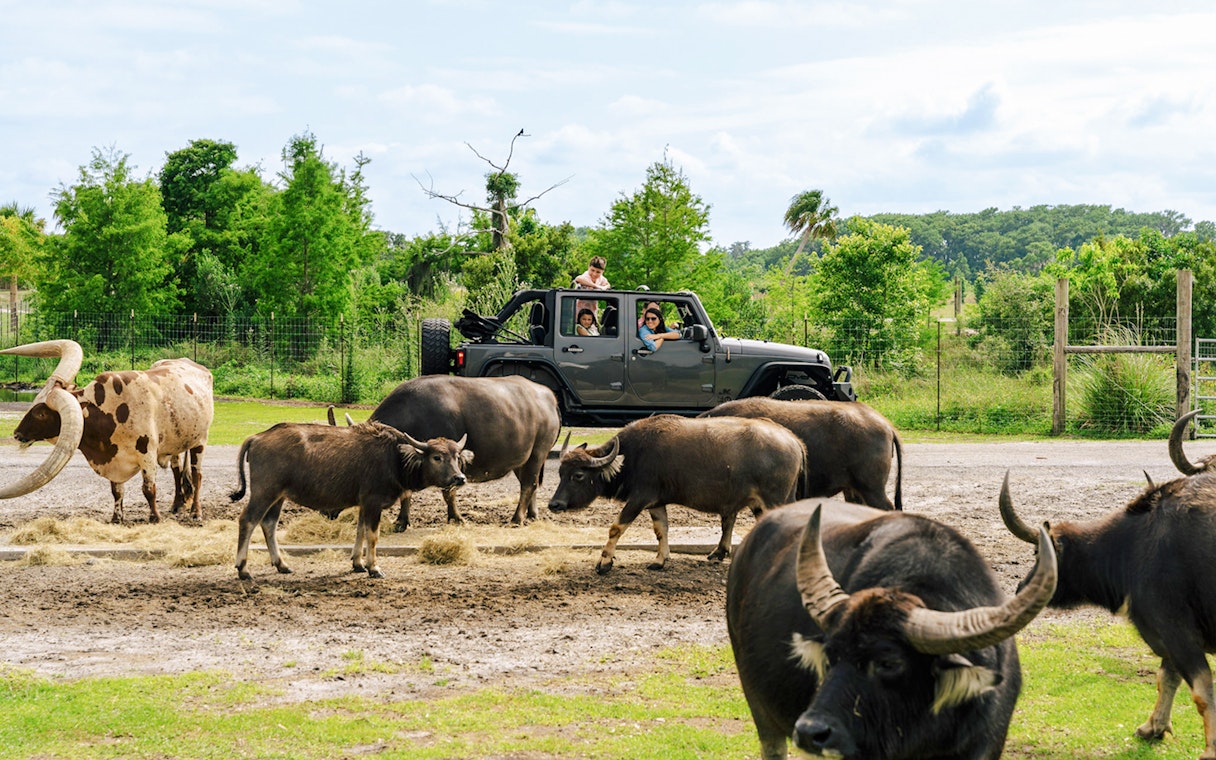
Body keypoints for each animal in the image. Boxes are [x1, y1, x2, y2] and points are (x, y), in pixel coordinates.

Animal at [0, 339, 213, 523]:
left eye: (41, 414)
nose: (17, 433)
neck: (108, 411)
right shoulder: (114, 459)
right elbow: (116, 491)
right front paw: (116, 518)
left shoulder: (147, 454)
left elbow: (149, 489)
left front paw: (155, 518)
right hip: (176, 443)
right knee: (177, 471)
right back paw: (177, 505)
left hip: (200, 441)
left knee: (197, 475)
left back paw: (196, 513)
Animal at [230, 421, 471, 579]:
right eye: (437, 457)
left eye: (457, 456)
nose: (459, 478)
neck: (394, 458)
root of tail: (257, 437)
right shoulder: (373, 502)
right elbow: (372, 535)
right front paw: (374, 567)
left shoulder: (364, 504)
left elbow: (360, 531)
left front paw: (358, 563)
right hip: (265, 492)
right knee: (248, 520)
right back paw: (243, 569)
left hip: (279, 497)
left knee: (268, 524)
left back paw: (281, 564)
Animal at [369, 375, 560, 528]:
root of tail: (549, 396)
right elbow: (406, 493)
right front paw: (402, 521)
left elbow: (449, 493)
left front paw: (456, 518)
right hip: (523, 460)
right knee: (531, 483)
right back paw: (532, 515)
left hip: (537, 454)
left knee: (528, 485)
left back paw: (516, 519)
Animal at [548, 414, 807, 574]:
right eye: (560, 472)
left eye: (578, 475)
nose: (554, 504)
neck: (632, 456)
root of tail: (793, 440)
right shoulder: (655, 502)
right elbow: (661, 530)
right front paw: (660, 560)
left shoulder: (639, 498)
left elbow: (616, 527)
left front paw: (604, 562)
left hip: (774, 499)